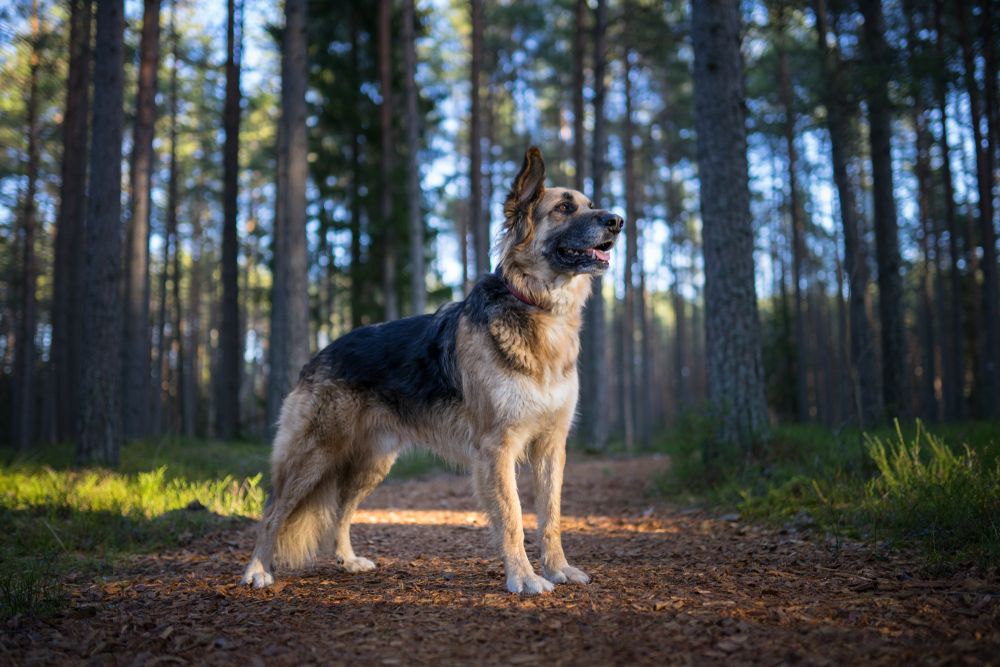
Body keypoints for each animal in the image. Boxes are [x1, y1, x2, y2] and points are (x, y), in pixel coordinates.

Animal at [242, 147, 620, 596]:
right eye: (564, 208)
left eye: (591, 204)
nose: (617, 221)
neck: (537, 307)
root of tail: (320, 354)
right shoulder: (498, 448)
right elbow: (512, 517)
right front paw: (524, 577)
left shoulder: (551, 447)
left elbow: (551, 517)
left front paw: (559, 568)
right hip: (313, 454)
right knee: (273, 511)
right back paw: (258, 570)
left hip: (371, 464)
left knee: (341, 510)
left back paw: (347, 560)